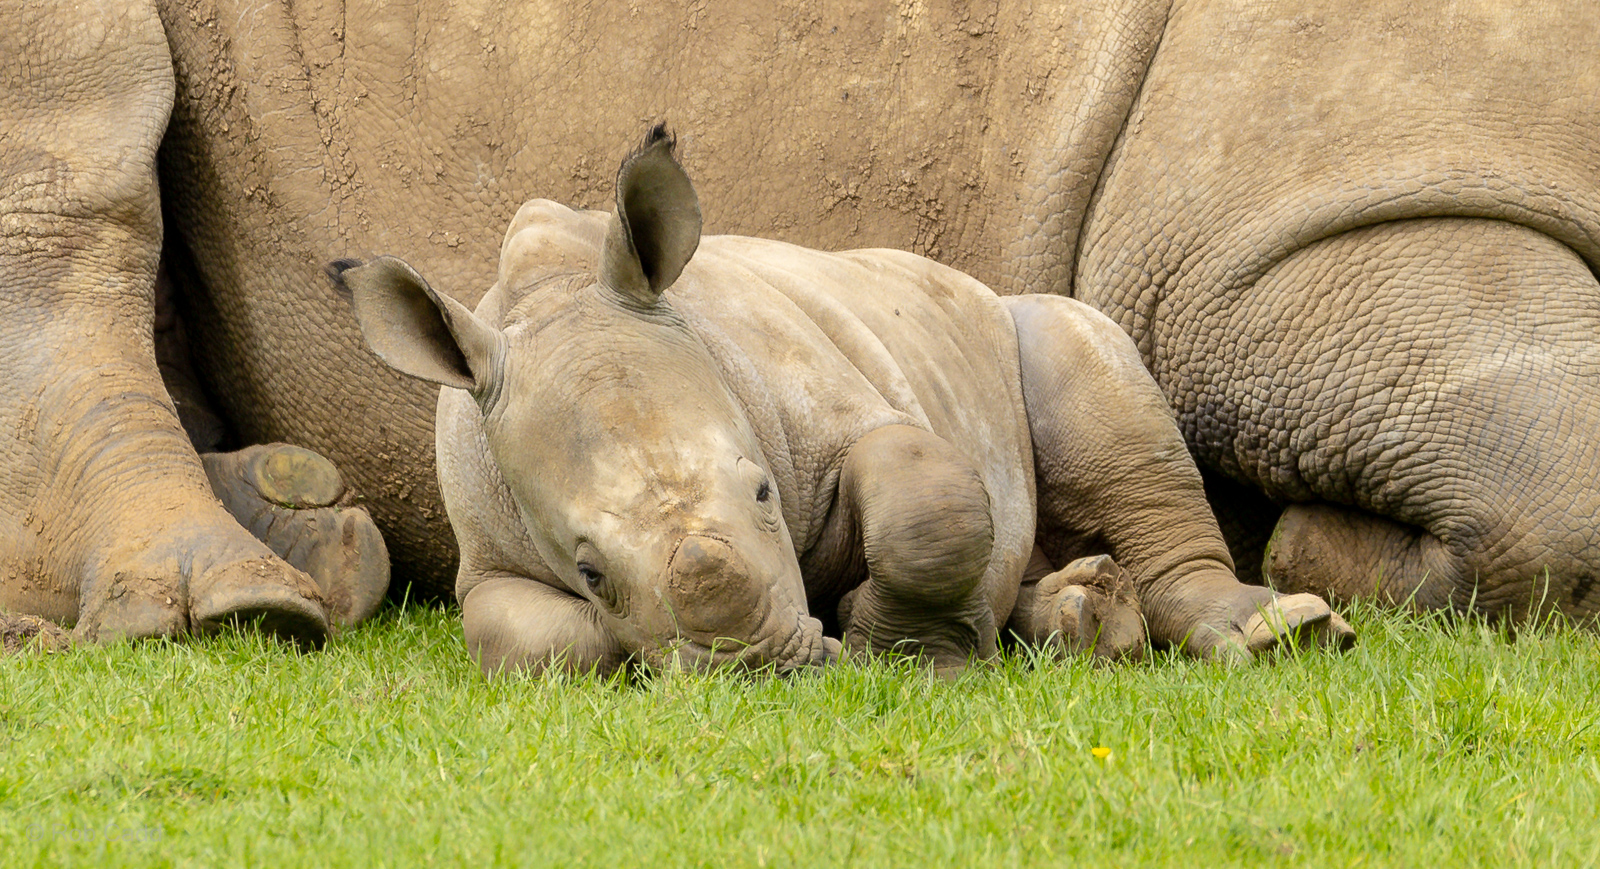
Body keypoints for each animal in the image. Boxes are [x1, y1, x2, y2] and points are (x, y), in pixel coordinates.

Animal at [335, 128, 1351, 673]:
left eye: (763, 491)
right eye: (587, 568)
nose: (760, 668)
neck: (553, 297)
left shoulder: (832, 402)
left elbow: (927, 508)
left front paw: (905, 650)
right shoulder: (484, 551)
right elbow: (536, 638)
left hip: (1017, 322)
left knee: (1093, 377)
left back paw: (1280, 634)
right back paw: (1087, 619)